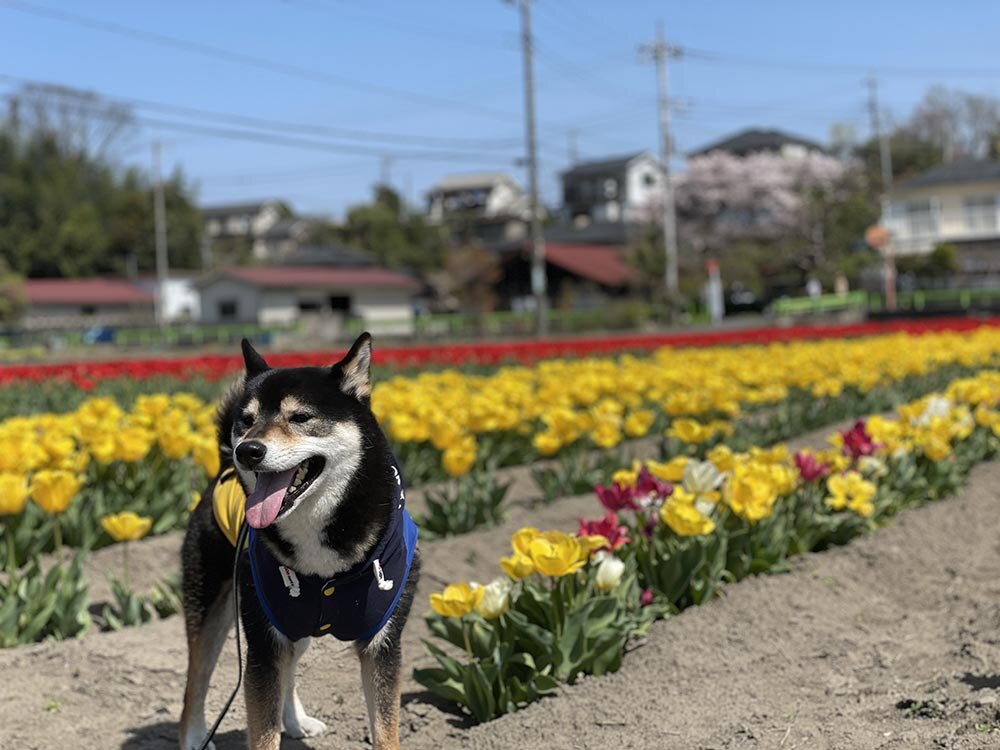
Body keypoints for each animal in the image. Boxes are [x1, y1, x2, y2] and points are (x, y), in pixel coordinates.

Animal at [180, 336, 418, 750]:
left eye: (301, 417)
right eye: (247, 420)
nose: (248, 450)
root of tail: (222, 465)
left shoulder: (382, 642)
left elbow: (386, 728)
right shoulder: (262, 642)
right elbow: (262, 731)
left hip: (293, 622)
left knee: (288, 670)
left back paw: (295, 721)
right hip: (211, 605)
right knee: (196, 679)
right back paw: (194, 737)